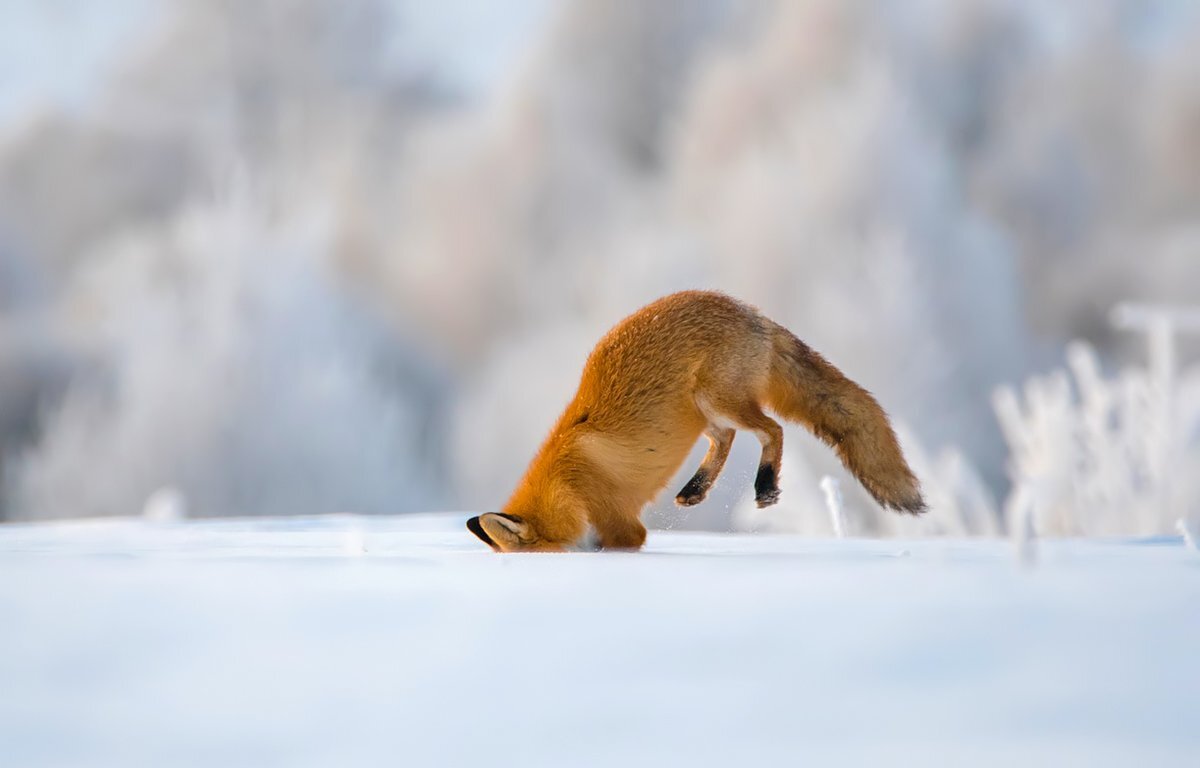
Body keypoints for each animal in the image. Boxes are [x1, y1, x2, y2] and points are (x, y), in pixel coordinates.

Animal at [468, 289, 926, 552]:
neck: (566, 486)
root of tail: (751, 312)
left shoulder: (621, 525)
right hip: (701, 413)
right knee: (726, 438)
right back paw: (695, 489)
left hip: (714, 398)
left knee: (771, 429)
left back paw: (765, 486)